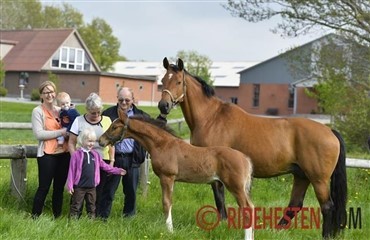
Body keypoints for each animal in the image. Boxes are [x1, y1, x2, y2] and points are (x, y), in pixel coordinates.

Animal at [98, 110, 254, 238]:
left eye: (114, 127)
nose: (101, 141)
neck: (162, 144)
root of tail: (245, 159)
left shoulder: (167, 177)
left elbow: (167, 202)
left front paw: (169, 230)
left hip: (235, 187)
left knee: (247, 207)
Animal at [158, 56, 346, 238]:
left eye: (178, 82)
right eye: (163, 80)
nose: (163, 106)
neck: (211, 118)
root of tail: (330, 131)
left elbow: (219, 198)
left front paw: (224, 223)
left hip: (318, 179)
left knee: (327, 206)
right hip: (301, 175)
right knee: (295, 204)